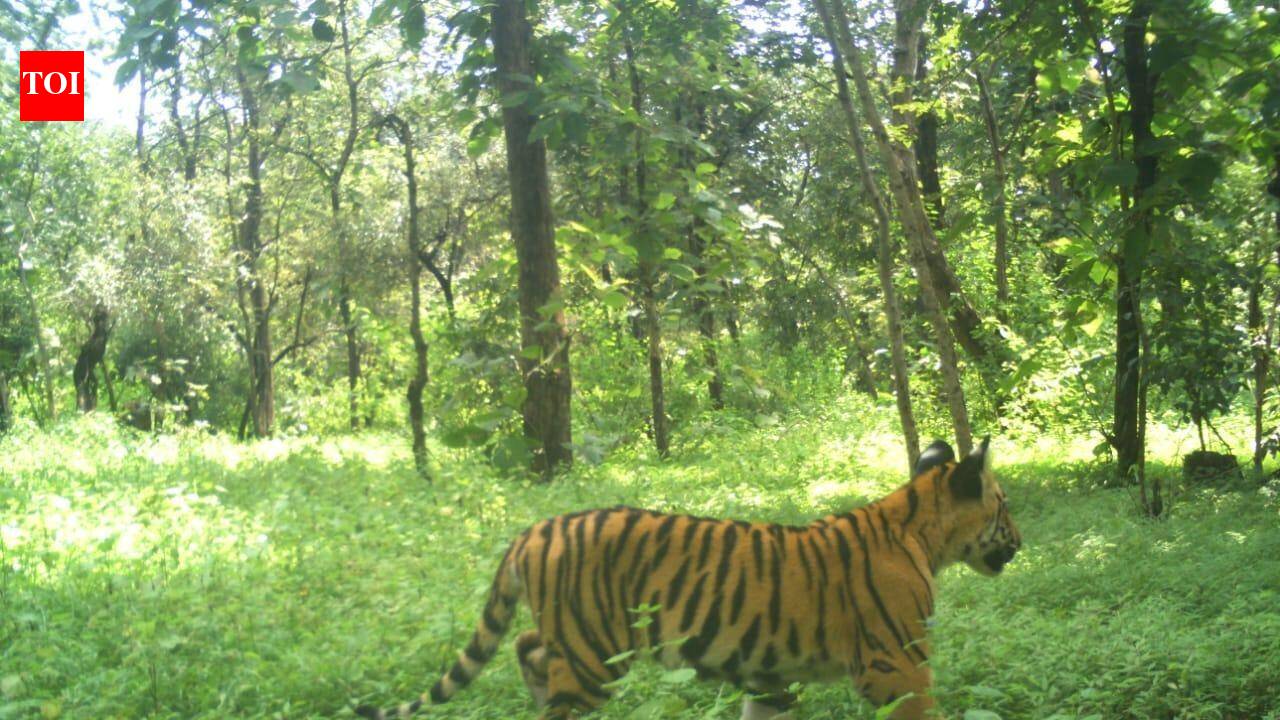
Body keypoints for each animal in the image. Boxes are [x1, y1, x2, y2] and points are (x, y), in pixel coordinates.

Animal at [355, 437, 1020, 720]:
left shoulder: (769, 675)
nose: (1021, 542)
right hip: (596, 654)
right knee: (551, 685)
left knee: (526, 644)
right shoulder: (898, 667)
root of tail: (534, 530)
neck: (919, 530)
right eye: (1004, 504)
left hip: (579, 639)